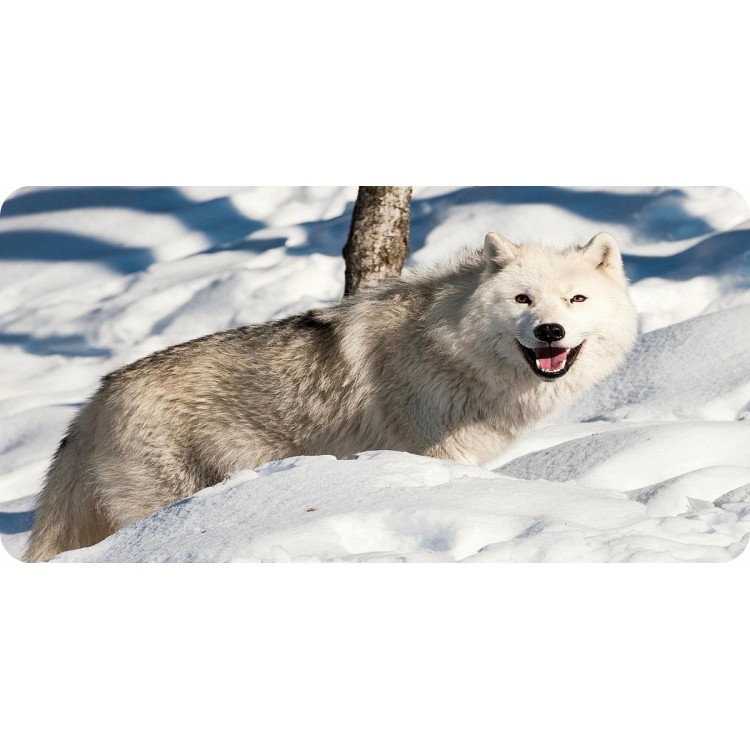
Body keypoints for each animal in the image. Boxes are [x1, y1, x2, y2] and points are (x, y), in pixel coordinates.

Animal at [24, 232, 638, 561]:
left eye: (576, 299)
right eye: (522, 299)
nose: (550, 332)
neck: (447, 346)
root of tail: (95, 399)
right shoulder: (438, 457)